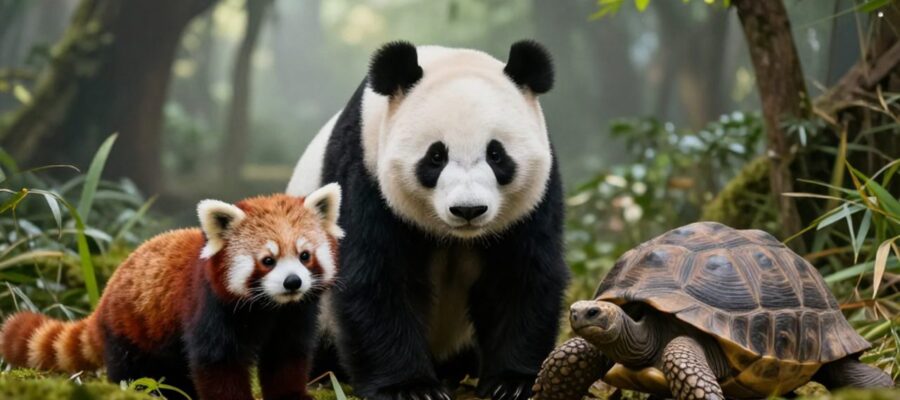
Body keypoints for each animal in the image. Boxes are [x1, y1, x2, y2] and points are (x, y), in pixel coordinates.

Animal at [286, 40, 569, 400]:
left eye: (496, 154)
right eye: (436, 156)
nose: (468, 210)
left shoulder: (537, 197)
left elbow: (520, 275)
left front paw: (514, 382)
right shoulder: (363, 172)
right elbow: (377, 276)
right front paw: (410, 388)